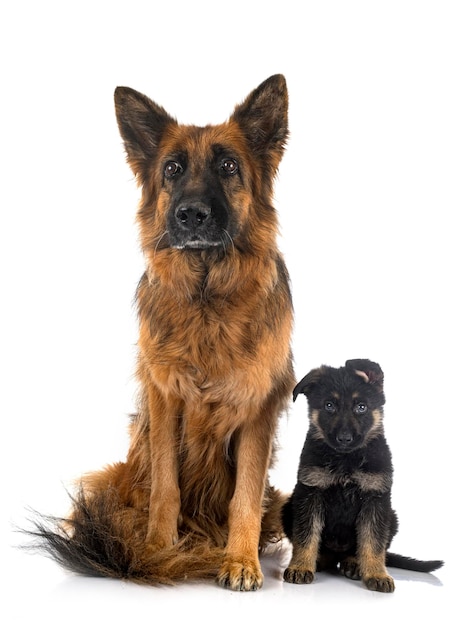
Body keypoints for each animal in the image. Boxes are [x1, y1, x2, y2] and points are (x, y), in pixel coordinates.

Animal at [27, 74, 294, 588]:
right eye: (171, 169)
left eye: (228, 166)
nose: (191, 214)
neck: (207, 300)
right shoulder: (165, 397)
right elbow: (165, 487)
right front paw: (155, 551)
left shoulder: (258, 406)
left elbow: (246, 494)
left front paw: (240, 559)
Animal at [280, 358, 442, 588]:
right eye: (329, 406)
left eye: (361, 407)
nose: (344, 438)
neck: (346, 459)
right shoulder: (310, 495)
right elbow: (306, 535)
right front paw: (301, 566)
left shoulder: (375, 500)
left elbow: (373, 541)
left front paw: (377, 574)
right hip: (288, 509)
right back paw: (320, 559)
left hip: (392, 518)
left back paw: (354, 563)